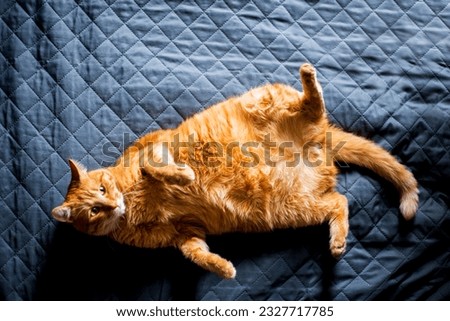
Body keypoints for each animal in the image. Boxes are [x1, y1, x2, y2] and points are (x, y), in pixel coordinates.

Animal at [51, 63, 416, 278]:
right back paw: (337, 242)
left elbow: (154, 166)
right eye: (94, 210)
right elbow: (197, 255)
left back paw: (308, 76)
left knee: (314, 103)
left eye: (102, 190)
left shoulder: (153, 146)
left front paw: (183, 176)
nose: (112, 205)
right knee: (339, 202)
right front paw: (223, 268)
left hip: (268, 99)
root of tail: (320, 140)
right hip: (297, 208)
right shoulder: (186, 233)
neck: (132, 207)